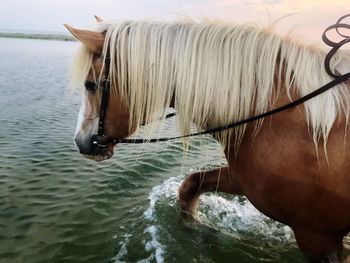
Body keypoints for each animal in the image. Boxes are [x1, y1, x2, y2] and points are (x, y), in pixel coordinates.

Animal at [65, 16, 350, 262]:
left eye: (90, 84)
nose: (81, 141)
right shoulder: (243, 179)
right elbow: (190, 185)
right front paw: (198, 230)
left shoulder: (316, 237)